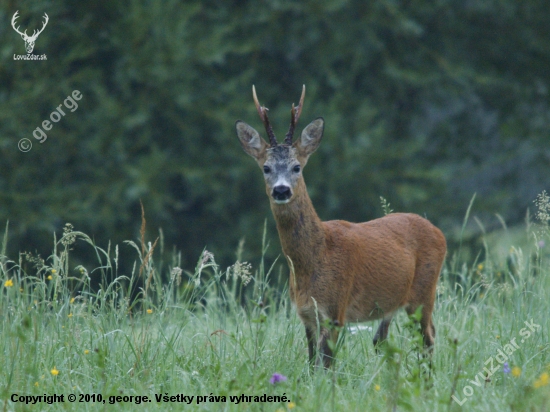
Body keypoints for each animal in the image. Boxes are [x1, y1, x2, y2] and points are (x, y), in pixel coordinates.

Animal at [236, 85, 448, 368]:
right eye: (266, 168)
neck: (316, 256)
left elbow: (325, 364)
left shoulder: (336, 308)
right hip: (394, 301)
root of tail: (438, 232)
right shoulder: (306, 314)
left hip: (424, 292)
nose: (281, 190)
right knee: (382, 339)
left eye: (297, 167)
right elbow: (311, 363)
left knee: (428, 337)